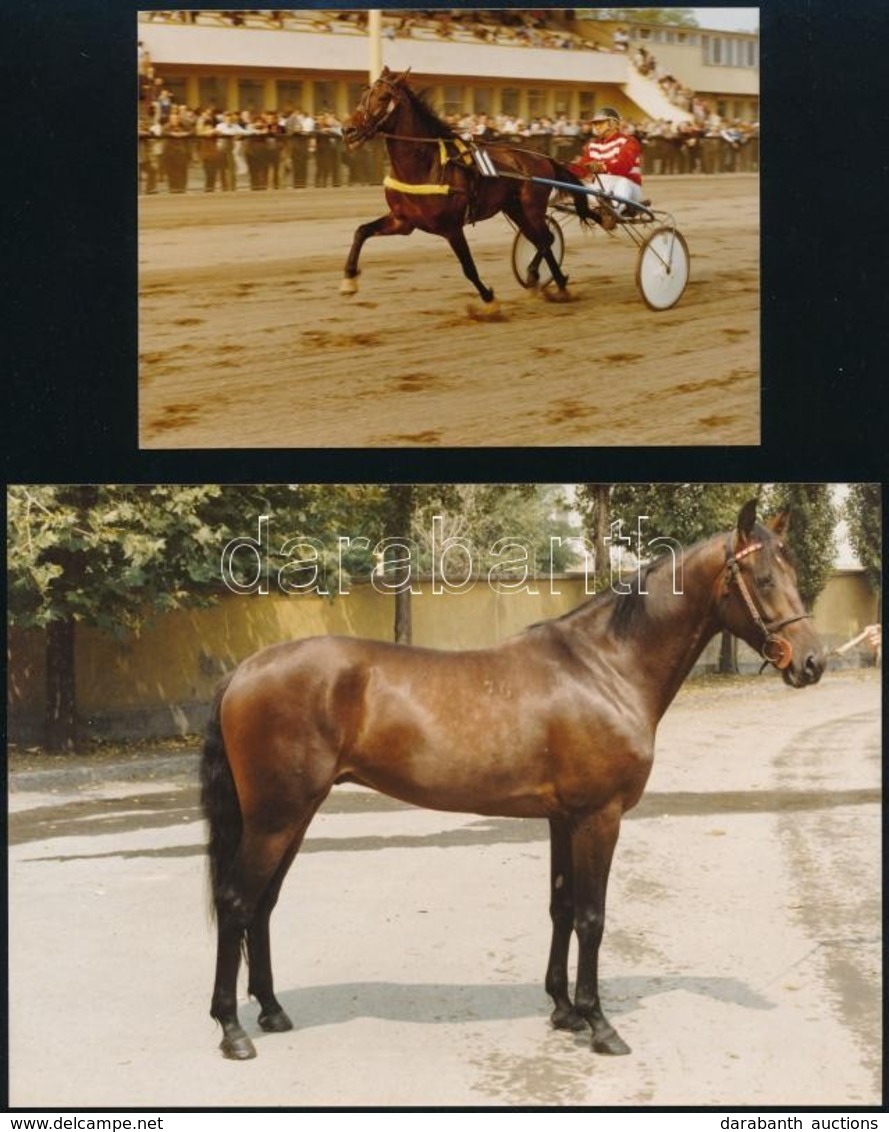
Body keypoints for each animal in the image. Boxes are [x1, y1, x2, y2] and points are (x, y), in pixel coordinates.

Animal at [201, 500, 824, 1055]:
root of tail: (245, 671)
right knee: (236, 902)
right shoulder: (599, 818)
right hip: (276, 817)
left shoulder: (562, 819)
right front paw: (600, 1025)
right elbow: (592, 918)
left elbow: (562, 907)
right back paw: (232, 1031)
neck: (604, 669)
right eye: (763, 578)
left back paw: (272, 1011)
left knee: (262, 904)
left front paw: (564, 1011)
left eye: (794, 573)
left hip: (294, 815)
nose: (813, 662)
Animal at [337, 67, 588, 312]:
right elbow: (361, 231)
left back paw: (555, 283)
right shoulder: (403, 221)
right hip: (515, 209)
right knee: (541, 240)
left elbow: (468, 267)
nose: (348, 130)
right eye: (363, 95)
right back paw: (542, 279)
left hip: (532, 207)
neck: (425, 165)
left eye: (383, 97)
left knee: (546, 239)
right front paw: (349, 280)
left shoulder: (452, 228)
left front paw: (489, 300)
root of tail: (542, 155)